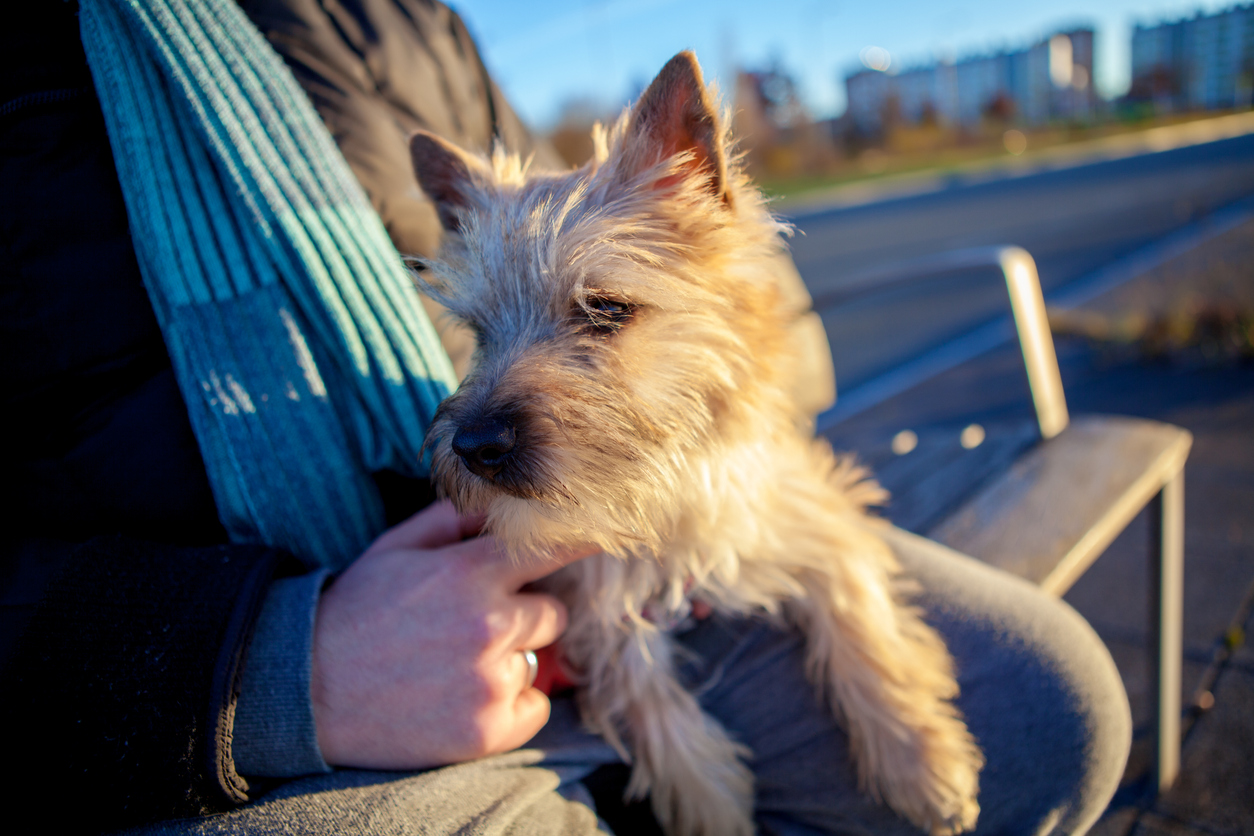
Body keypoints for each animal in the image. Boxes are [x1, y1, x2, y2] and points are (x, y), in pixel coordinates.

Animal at [408, 52, 978, 836]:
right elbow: (653, 709)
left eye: (604, 308)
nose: (474, 445)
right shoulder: (594, 604)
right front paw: (713, 804)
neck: (664, 494)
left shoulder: (809, 508)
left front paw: (917, 755)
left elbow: (861, 618)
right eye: (478, 331)